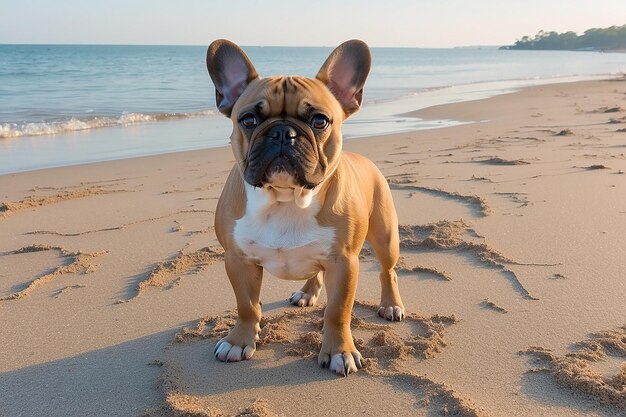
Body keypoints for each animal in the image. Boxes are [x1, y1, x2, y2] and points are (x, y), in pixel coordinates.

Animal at [205, 40, 404, 376]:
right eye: (248, 120)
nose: (283, 132)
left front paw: (339, 351)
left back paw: (390, 304)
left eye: (319, 121)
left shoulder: (344, 262)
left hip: (385, 236)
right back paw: (308, 291)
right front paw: (238, 341)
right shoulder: (237, 259)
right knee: (317, 271)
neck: (286, 199)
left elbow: (338, 311)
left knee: (387, 271)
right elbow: (246, 306)